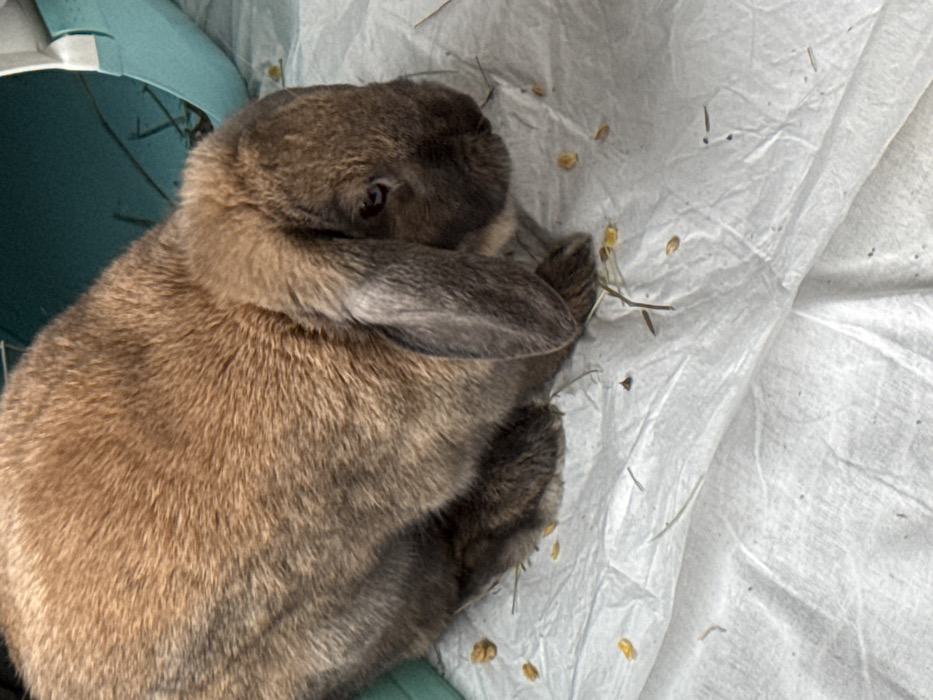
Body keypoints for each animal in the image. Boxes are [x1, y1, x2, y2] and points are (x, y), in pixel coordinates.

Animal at [0, 79, 596, 700]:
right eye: (372, 199)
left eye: (336, 94)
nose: (475, 120)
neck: (287, 318)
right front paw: (575, 278)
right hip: (365, 614)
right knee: (448, 586)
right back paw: (530, 454)